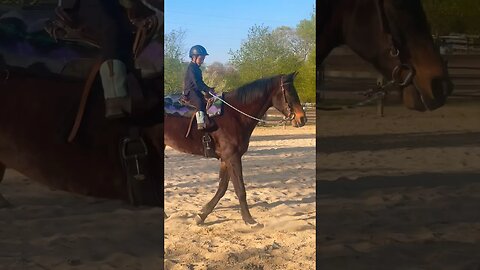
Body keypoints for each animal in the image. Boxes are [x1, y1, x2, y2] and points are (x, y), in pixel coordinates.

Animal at [165, 72, 308, 228]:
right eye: (289, 93)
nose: (302, 119)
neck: (234, 115)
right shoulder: (232, 157)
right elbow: (240, 189)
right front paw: (249, 220)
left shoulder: (226, 158)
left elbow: (222, 188)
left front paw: (201, 215)